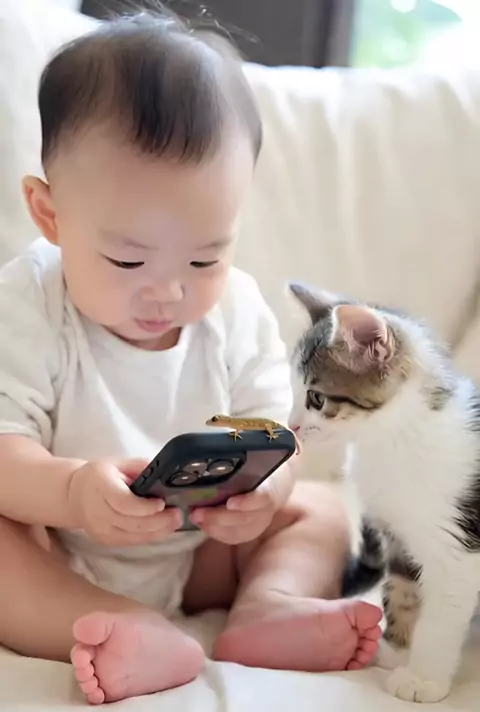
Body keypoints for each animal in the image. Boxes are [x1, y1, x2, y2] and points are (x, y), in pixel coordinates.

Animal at [287, 282, 480, 704]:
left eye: (316, 398)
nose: (291, 425)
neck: (390, 442)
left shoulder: (458, 546)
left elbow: (442, 612)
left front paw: (424, 678)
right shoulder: (396, 532)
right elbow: (403, 588)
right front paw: (398, 646)